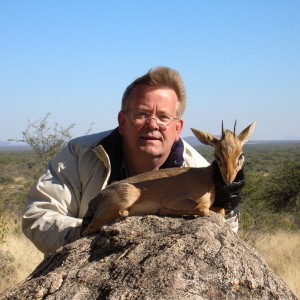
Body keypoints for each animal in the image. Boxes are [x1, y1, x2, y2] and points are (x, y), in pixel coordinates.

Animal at [82, 120, 255, 236]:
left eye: (241, 155)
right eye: (217, 156)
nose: (229, 178)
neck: (207, 178)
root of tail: (96, 199)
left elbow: (220, 210)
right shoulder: (178, 201)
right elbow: (203, 209)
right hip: (125, 198)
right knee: (87, 230)